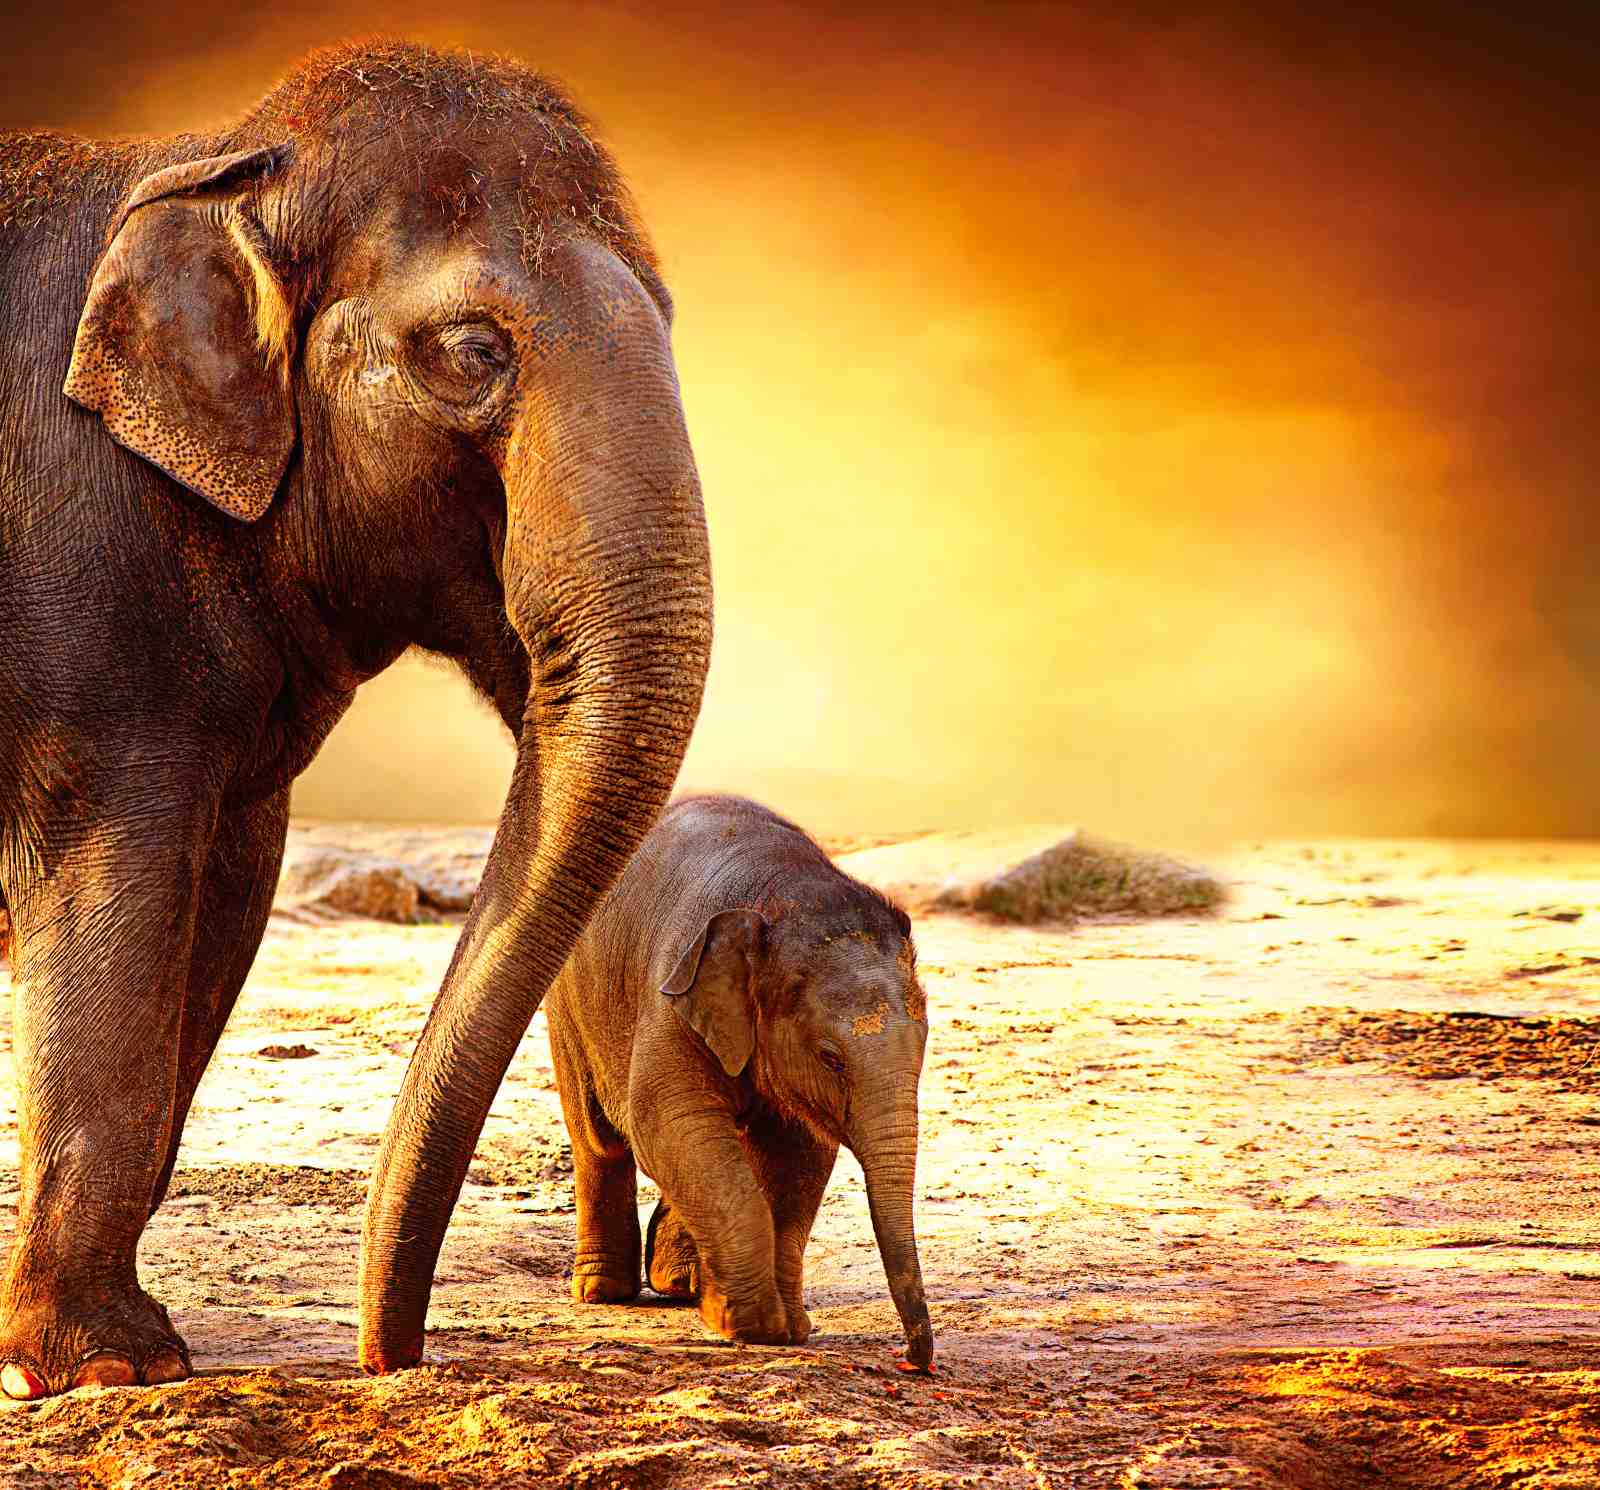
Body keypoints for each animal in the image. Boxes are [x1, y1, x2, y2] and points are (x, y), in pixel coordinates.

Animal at [0, 42, 713, 1398]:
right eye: (473, 350)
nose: (389, 1357)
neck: (213, 159)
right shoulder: (79, 589)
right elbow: (117, 895)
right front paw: (109, 1366)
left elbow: (219, 903)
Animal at [544, 794, 935, 1370]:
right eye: (831, 1058)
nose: (912, 1358)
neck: (782, 891)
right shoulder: (673, 989)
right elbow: (668, 1123)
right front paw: (751, 1325)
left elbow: (798, 1156)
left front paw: (786, 1326)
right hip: (570, 1000)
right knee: (599, 1138)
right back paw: (602, 1291)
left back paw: (680, 1283)